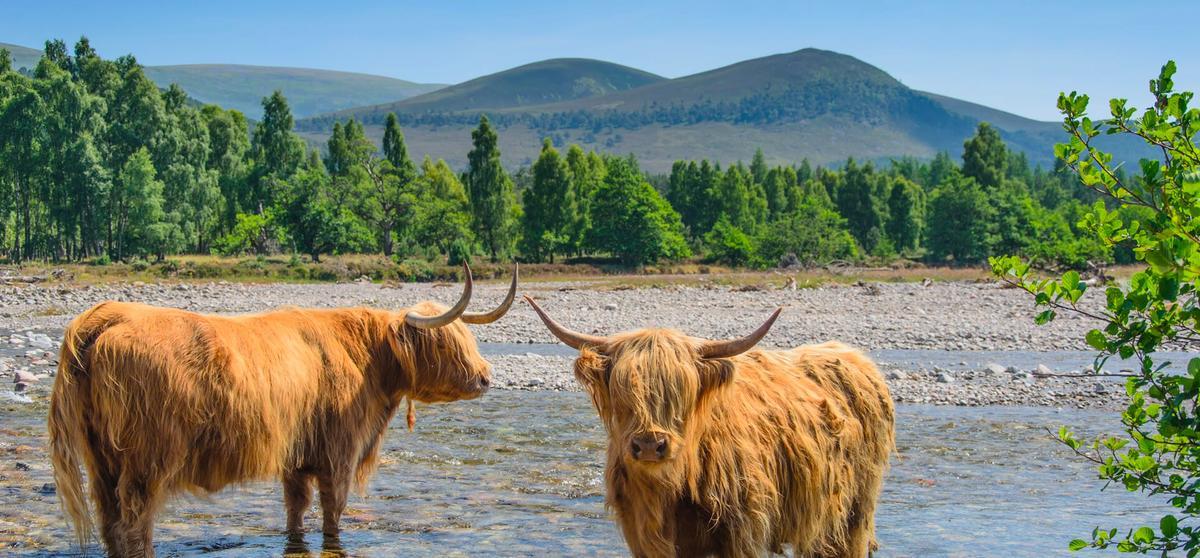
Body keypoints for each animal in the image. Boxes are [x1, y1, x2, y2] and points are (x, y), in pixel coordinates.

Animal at [49, 266, 516, 556]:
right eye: (447, 342)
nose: (485, 378)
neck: (365, 358)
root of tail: (105, 316)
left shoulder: (297, 456)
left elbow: (295, 508)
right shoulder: (339, 453)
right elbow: (333, 511)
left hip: (101, 457)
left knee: (109, 516)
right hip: (148, 460)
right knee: (135, 520)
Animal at [525, 297, 892, 554]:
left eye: (681, 390)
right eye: (623, 390)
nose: (649, 445)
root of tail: (856, 357)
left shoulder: (742, 531)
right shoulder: (644, 536)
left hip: (853, 514)